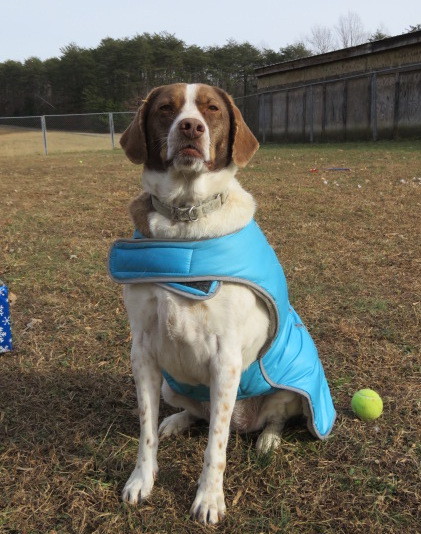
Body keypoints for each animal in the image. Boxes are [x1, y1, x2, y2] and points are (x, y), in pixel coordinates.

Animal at [117, 85, 302, 528]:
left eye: (212, 109)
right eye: (165, 108)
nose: (190, 127)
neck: (186, 223)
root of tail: (246, 420)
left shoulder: (227, 358)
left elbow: (215, 446)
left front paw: (209, 498)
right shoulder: (142, 352)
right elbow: (145, 430)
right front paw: (141, 480)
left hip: (283, 387)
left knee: (269, 418)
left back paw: (267, 440)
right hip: (172, 384)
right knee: (198, 415)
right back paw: (176, 421)